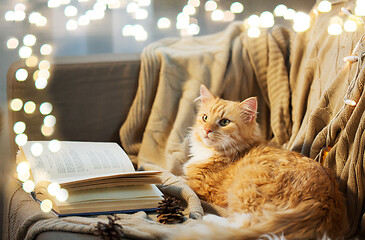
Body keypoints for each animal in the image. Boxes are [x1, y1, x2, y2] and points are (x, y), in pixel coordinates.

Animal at [181, 85, 348, 239]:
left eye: (224, 122)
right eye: (205, 118)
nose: (206, 130)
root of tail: (322, 201)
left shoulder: (201, 186)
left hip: (246, 186)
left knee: (243, 224)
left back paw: (207, 219)